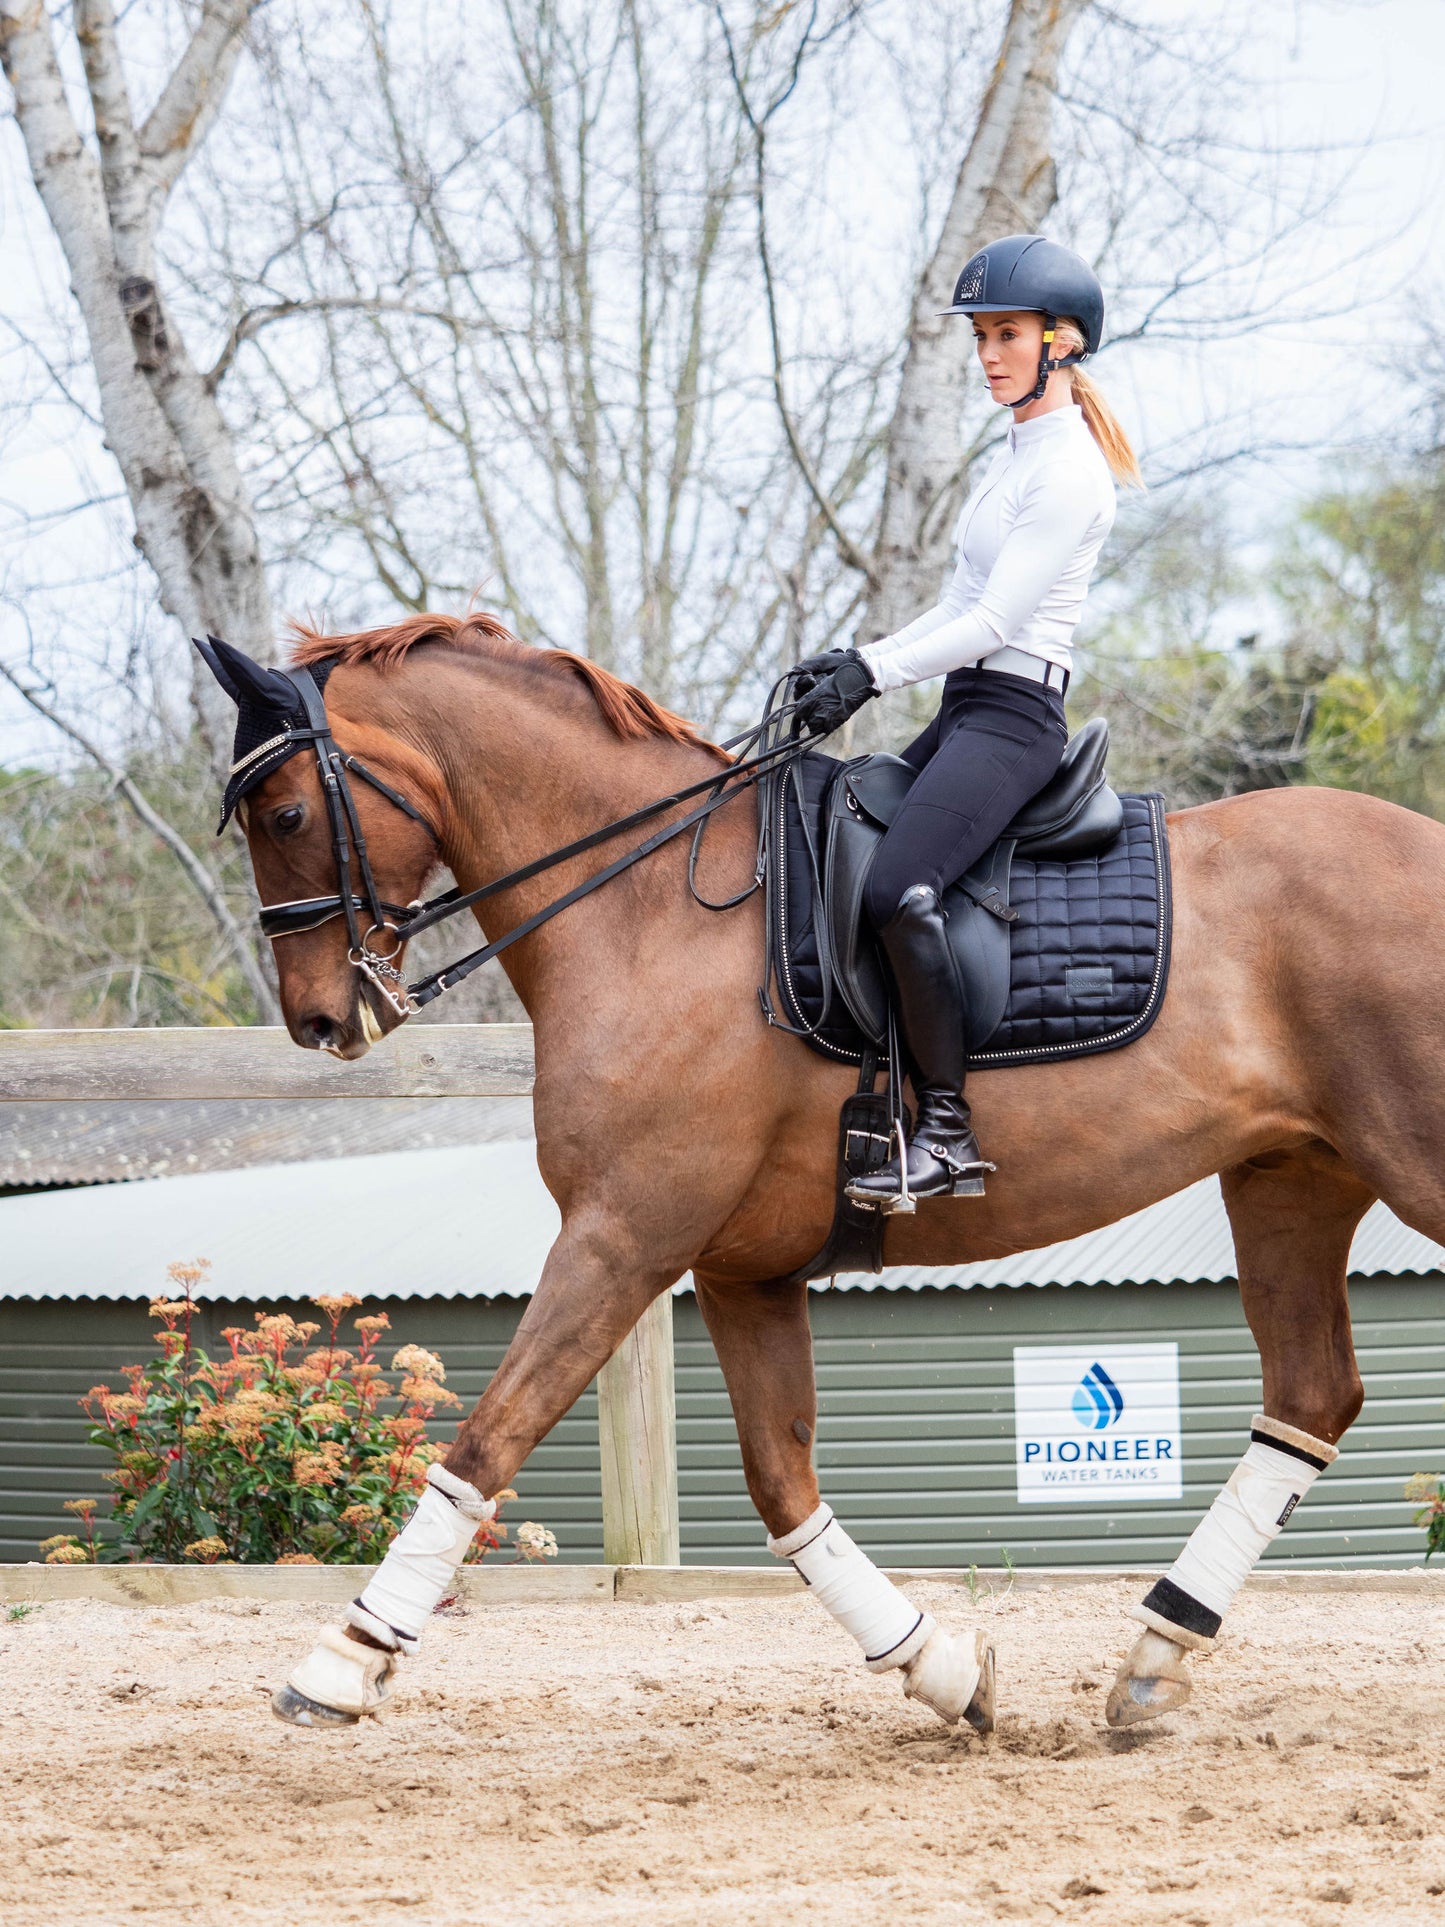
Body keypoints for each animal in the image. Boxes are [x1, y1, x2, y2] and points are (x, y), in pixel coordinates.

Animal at [214, 616, 1445, 1734]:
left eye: (286, 814)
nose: (318, 1019)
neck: (651, 907)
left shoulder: (622, 1235)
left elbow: (488, 1437)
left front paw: (342, 1659)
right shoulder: (737, 1270)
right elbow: (781, 1483)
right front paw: (939, 1668)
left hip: (1405, 1162)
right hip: (1290, 1178)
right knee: (1309, 1397)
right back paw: (1152, 1657)